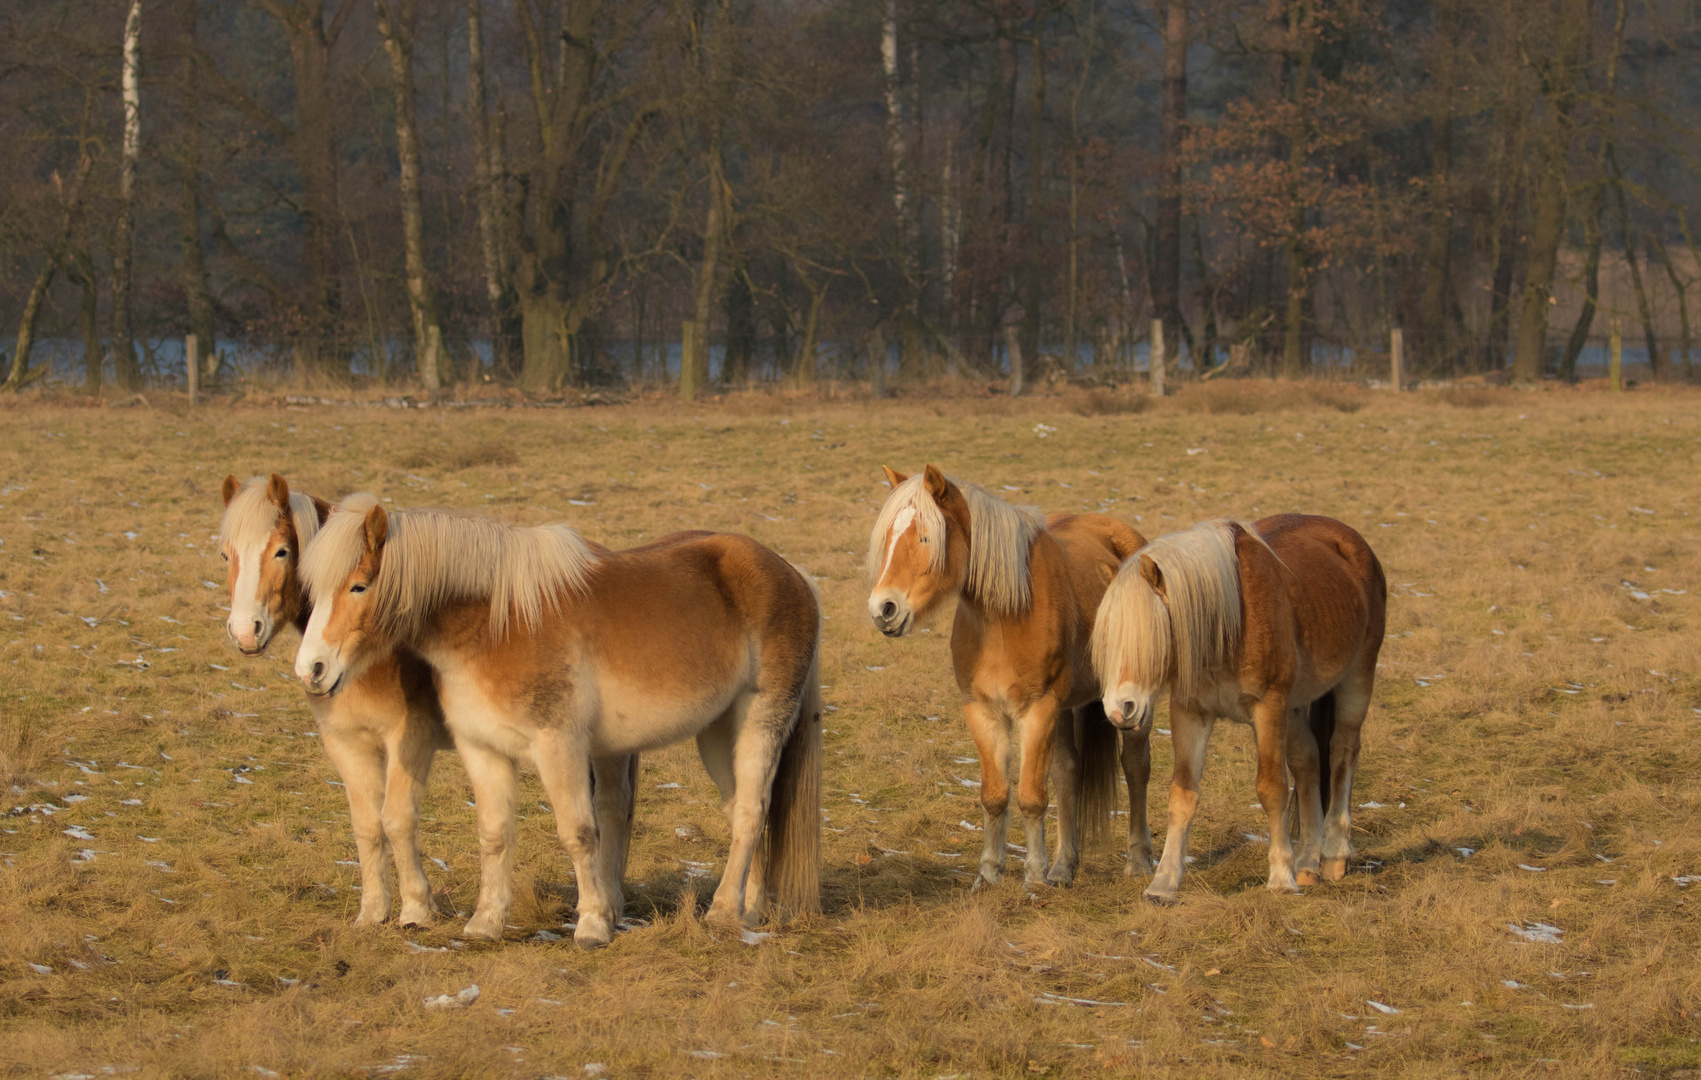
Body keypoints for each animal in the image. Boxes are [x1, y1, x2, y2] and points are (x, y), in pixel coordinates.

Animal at [219, 476, 459, 925]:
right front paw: (374, 912)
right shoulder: (347, 742)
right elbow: (367, 825)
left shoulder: (411, 739)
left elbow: (398, 820)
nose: (245, 631)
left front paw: (417, 909)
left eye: (281, 551)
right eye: (226, 554)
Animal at [294, 496, 823, 945]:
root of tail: (793, 575)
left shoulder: (558, 745)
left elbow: (578, 831)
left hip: (760, 722)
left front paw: (592, 926)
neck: (497, 623)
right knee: (743, 812)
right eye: (312, 591)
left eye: (359, 585)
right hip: (717, 732)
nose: (311, 670)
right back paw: (746, 911)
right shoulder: (481, 748)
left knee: (751, 811)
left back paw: (720, 912)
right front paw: (486, 922)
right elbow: (494, 832)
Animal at [870, 469, 1149, 891]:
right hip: (1069, 708)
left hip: (1131, 704)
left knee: (1135, 767)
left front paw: (1033, 879)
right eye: (888, 537)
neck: (1006, 615)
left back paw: (1138, 862)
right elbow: (995, 795)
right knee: (1068, 773)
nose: (882, 609)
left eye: (925, 538)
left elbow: (1032, 796)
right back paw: (1063, 867)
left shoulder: (1039, 709)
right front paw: (988, 874)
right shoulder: (983, 710)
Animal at [1095, 517, 1388, 904]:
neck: (1226, 625)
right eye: (1106, 637)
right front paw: (1163, 883)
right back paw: (1307, 861)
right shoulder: (1190, 713)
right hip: (1295, 708)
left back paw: (1334, 854)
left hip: (1356, 679)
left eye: (1151, 635)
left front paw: (1280, 877)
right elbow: (1182, 795)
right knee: (1308, 763)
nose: (1119, 710)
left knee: (1342, 753)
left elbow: (1272, 789)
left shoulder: (1269, 708)